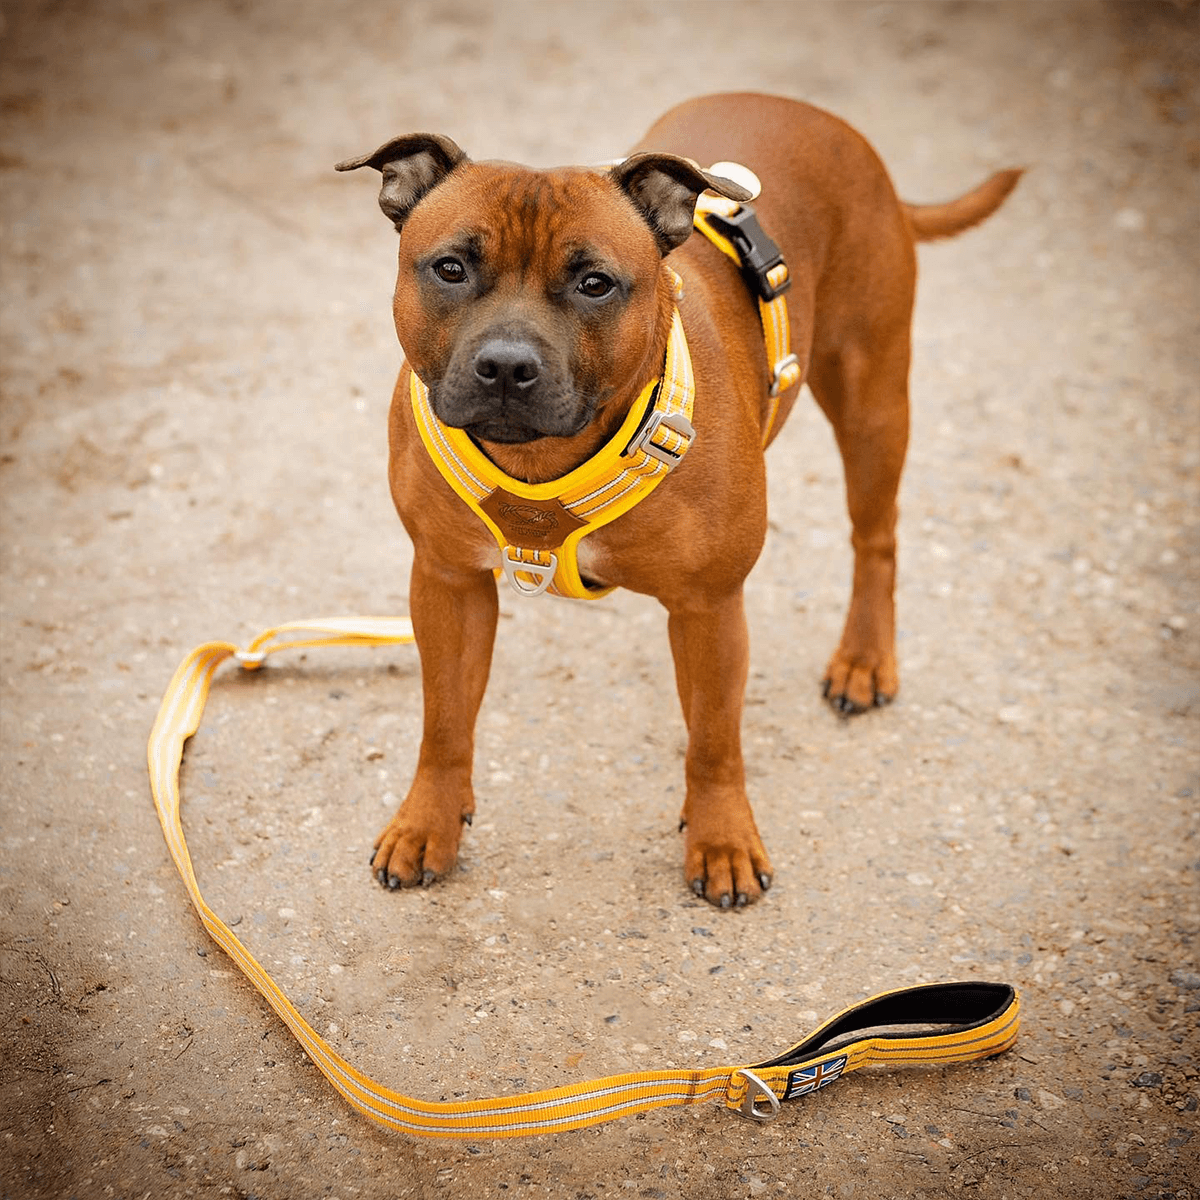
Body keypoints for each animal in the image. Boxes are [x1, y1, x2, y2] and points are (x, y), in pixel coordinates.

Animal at [340, 88, 1022, 902]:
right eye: (450, 268)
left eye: (595, 283)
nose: (506, 365)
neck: (545, 460)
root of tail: (816, 116)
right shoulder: (448, 583)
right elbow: (444, 722)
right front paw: (428, 823)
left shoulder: (710, 608)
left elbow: (715, 741)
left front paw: (722, 839)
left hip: (873, 401)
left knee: (875, 537)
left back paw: (863, 659)